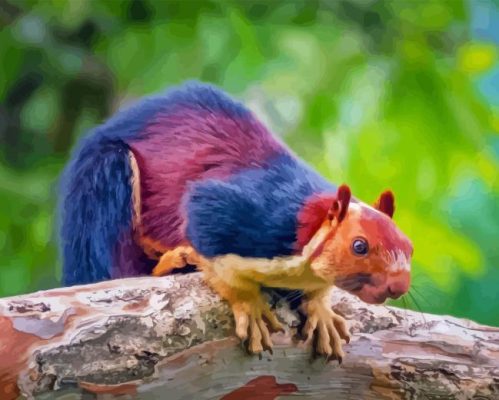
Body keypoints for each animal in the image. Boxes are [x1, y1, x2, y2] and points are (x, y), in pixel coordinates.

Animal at [59, 79, 414, 360]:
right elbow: (211, 239)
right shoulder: (244, 214)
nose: (399, 284)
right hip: (103, 182)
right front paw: (249, 305)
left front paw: (321, 310)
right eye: (359, 246)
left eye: (409, 247)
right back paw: (173, 262)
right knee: (114, 268)